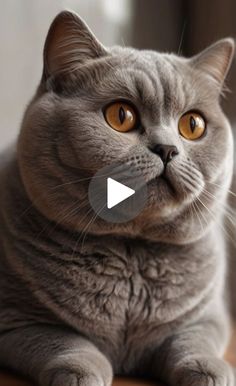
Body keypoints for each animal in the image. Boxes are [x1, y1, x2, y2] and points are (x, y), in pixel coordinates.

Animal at [0, 10, 236, 386]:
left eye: (193, 125)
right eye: (121, 116)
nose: (167, 149)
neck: (131, 254)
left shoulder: (209, 317)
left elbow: (193, 340)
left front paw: (210, 371)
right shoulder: (15, 320)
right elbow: (65, 341)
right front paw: (80, 374)